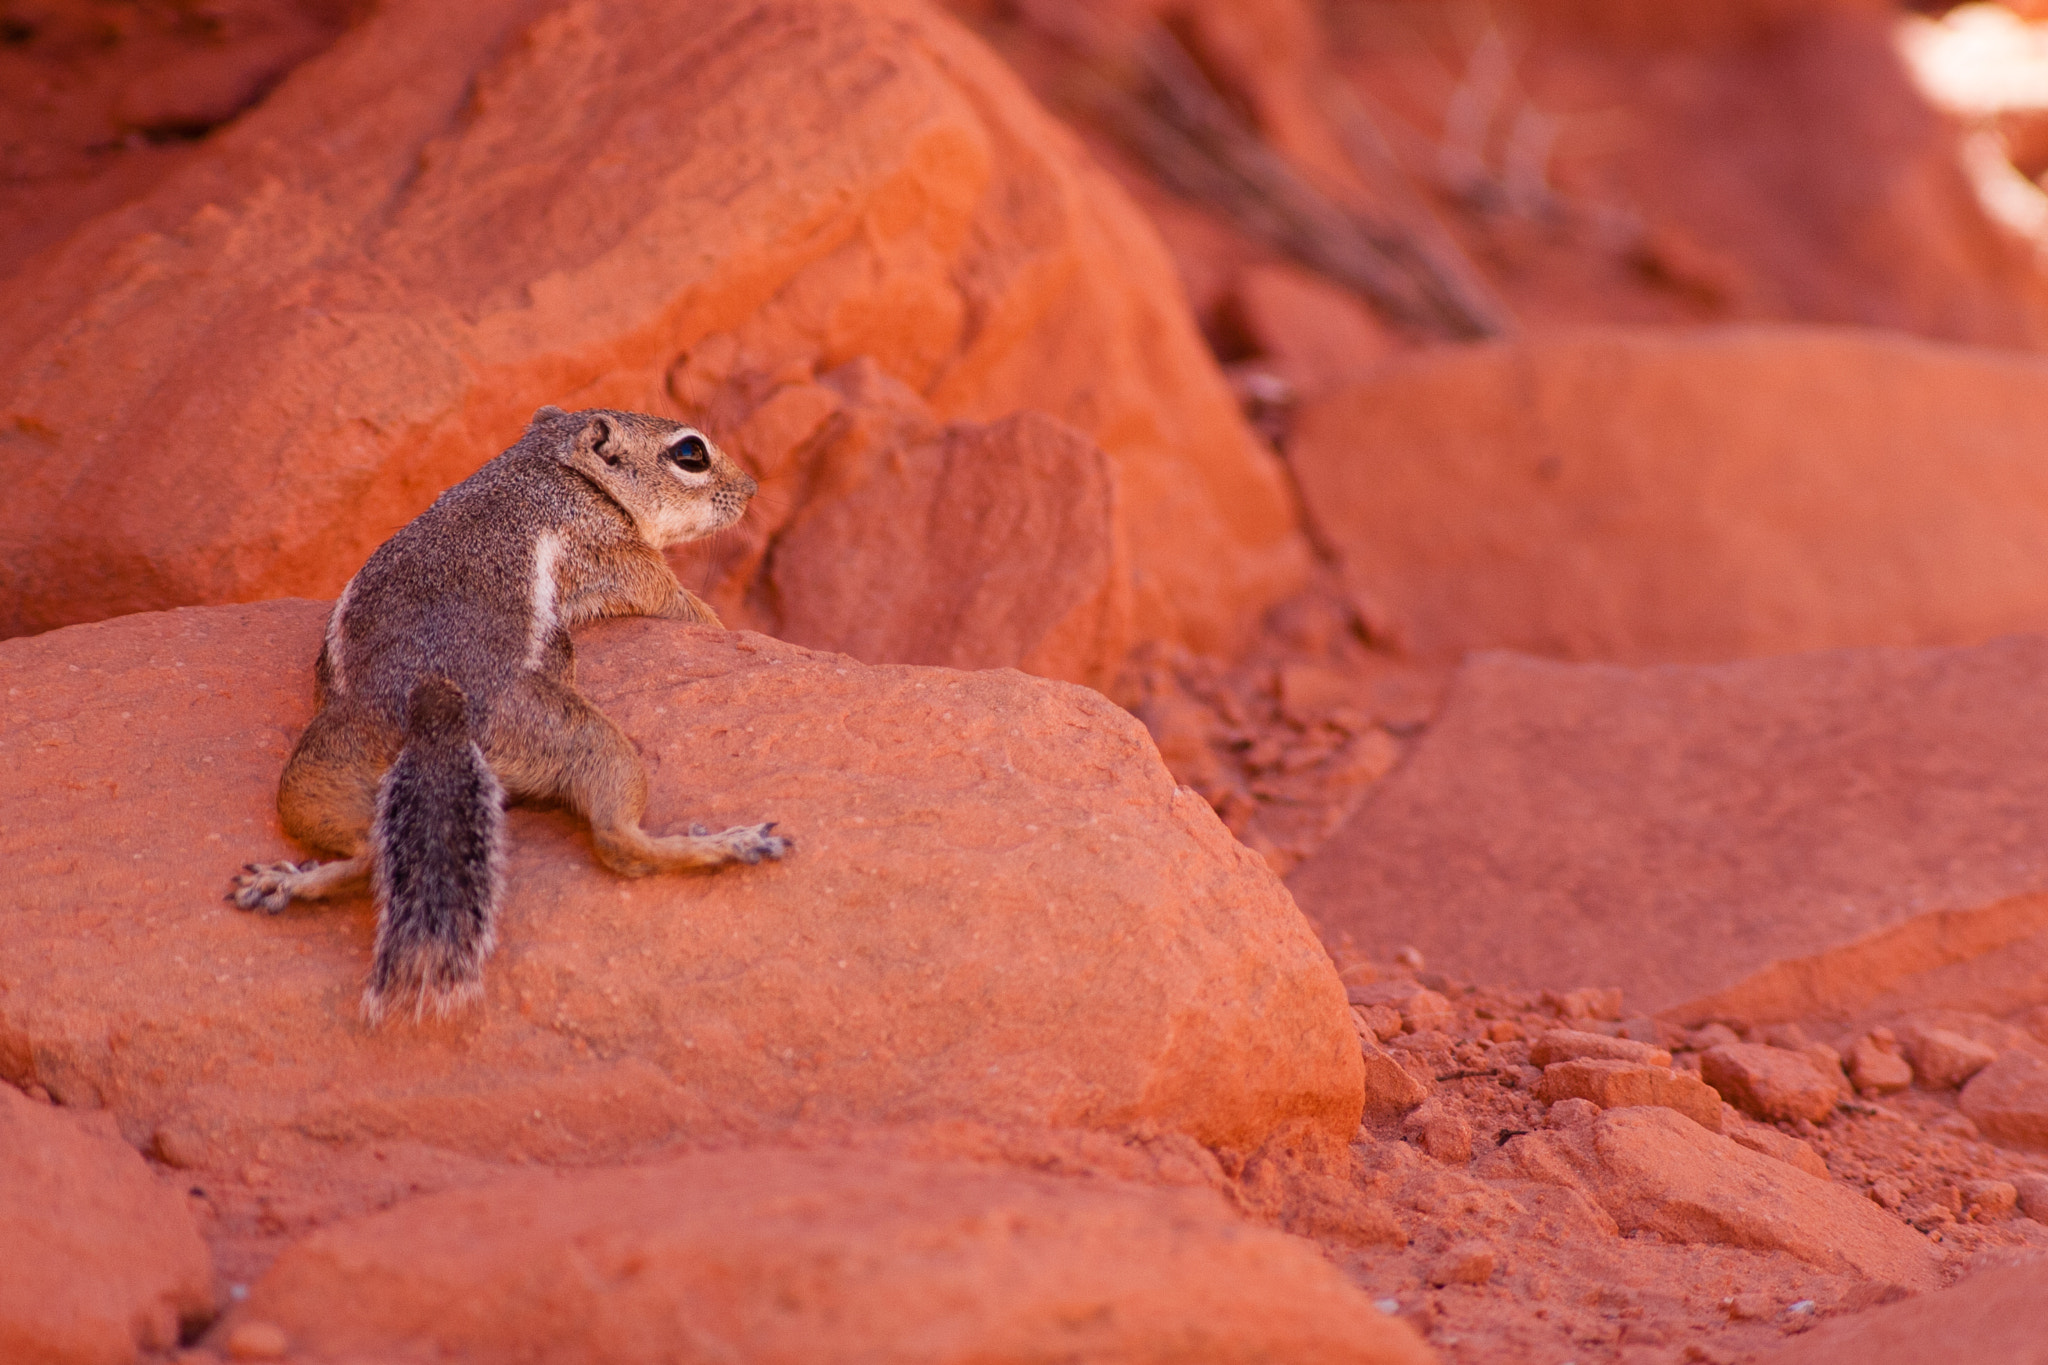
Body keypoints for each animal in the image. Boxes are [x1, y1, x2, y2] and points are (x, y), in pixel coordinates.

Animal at [230, 405, 791, 1022]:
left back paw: (284, 884)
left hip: (317, 767)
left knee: (368, 852)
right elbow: (686, 611)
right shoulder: (620, 556)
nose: (752, 489)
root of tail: (435, 705)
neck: (553, 462)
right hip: (566, 728)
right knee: (617, 841)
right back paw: (728, 844)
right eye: (691, 454)